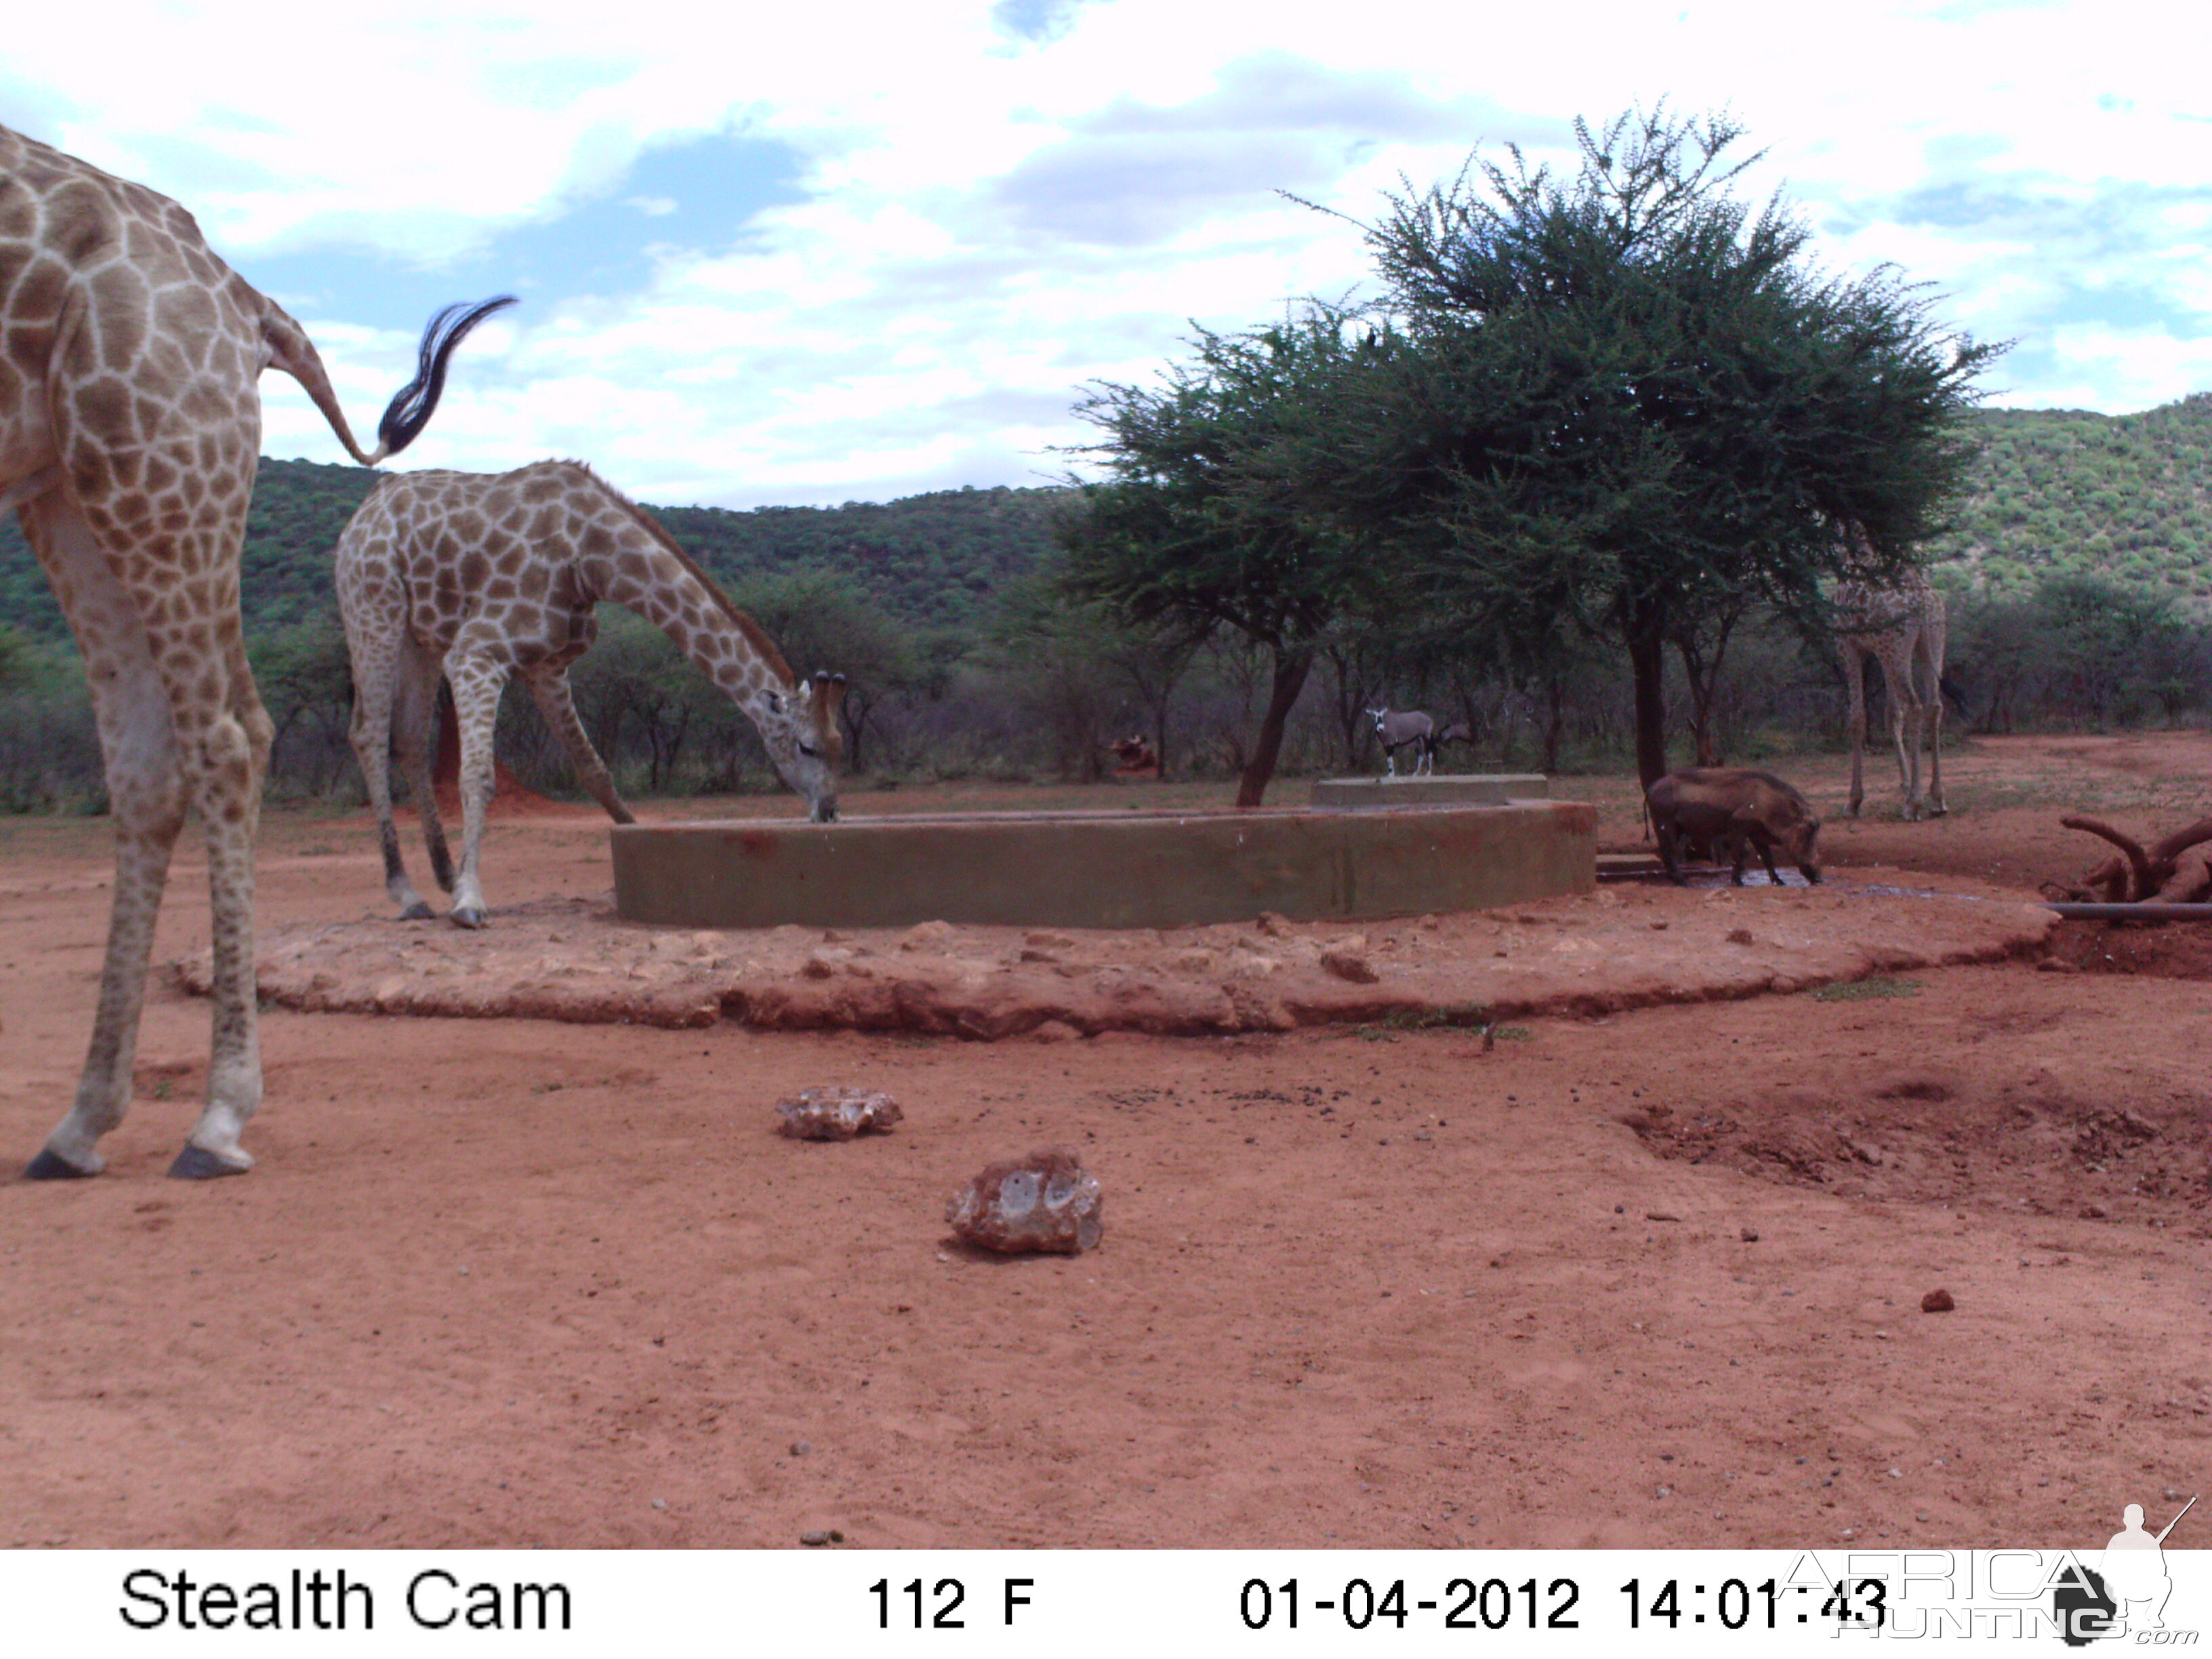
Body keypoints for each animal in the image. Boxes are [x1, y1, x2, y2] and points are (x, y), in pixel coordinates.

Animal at [2, 120, 508, 1185]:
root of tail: (247, 300)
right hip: (76, 479)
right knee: (170, 757)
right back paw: (87, 1127)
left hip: (138, 453)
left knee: (228, 738)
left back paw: (207, 1120)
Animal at [336, 462, 844, 928]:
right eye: (807, 747)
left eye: (839, 746)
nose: (830, 811)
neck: (593, 558)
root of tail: (362, 515)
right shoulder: (477, 651)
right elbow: (477, 776)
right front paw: (470, 901)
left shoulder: (547, 665)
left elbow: (594, 769)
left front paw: (638, 846)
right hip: (374, 607)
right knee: (368, 734)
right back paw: (407, 892)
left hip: (420, 636)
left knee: (409, 738)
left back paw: (442, 874)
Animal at [1831, 526, 1955, 827]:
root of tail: (1922, 600)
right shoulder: (1882, 651)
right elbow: (1891, 714)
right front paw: (1905, 785)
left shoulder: (1848, 643)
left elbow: (1858, 716)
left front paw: (1854, 801)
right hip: (1930, 641)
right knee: (1934, 706)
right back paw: (1937, 799)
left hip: (1895, 646)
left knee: (1915, 706)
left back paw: (1914, 805)